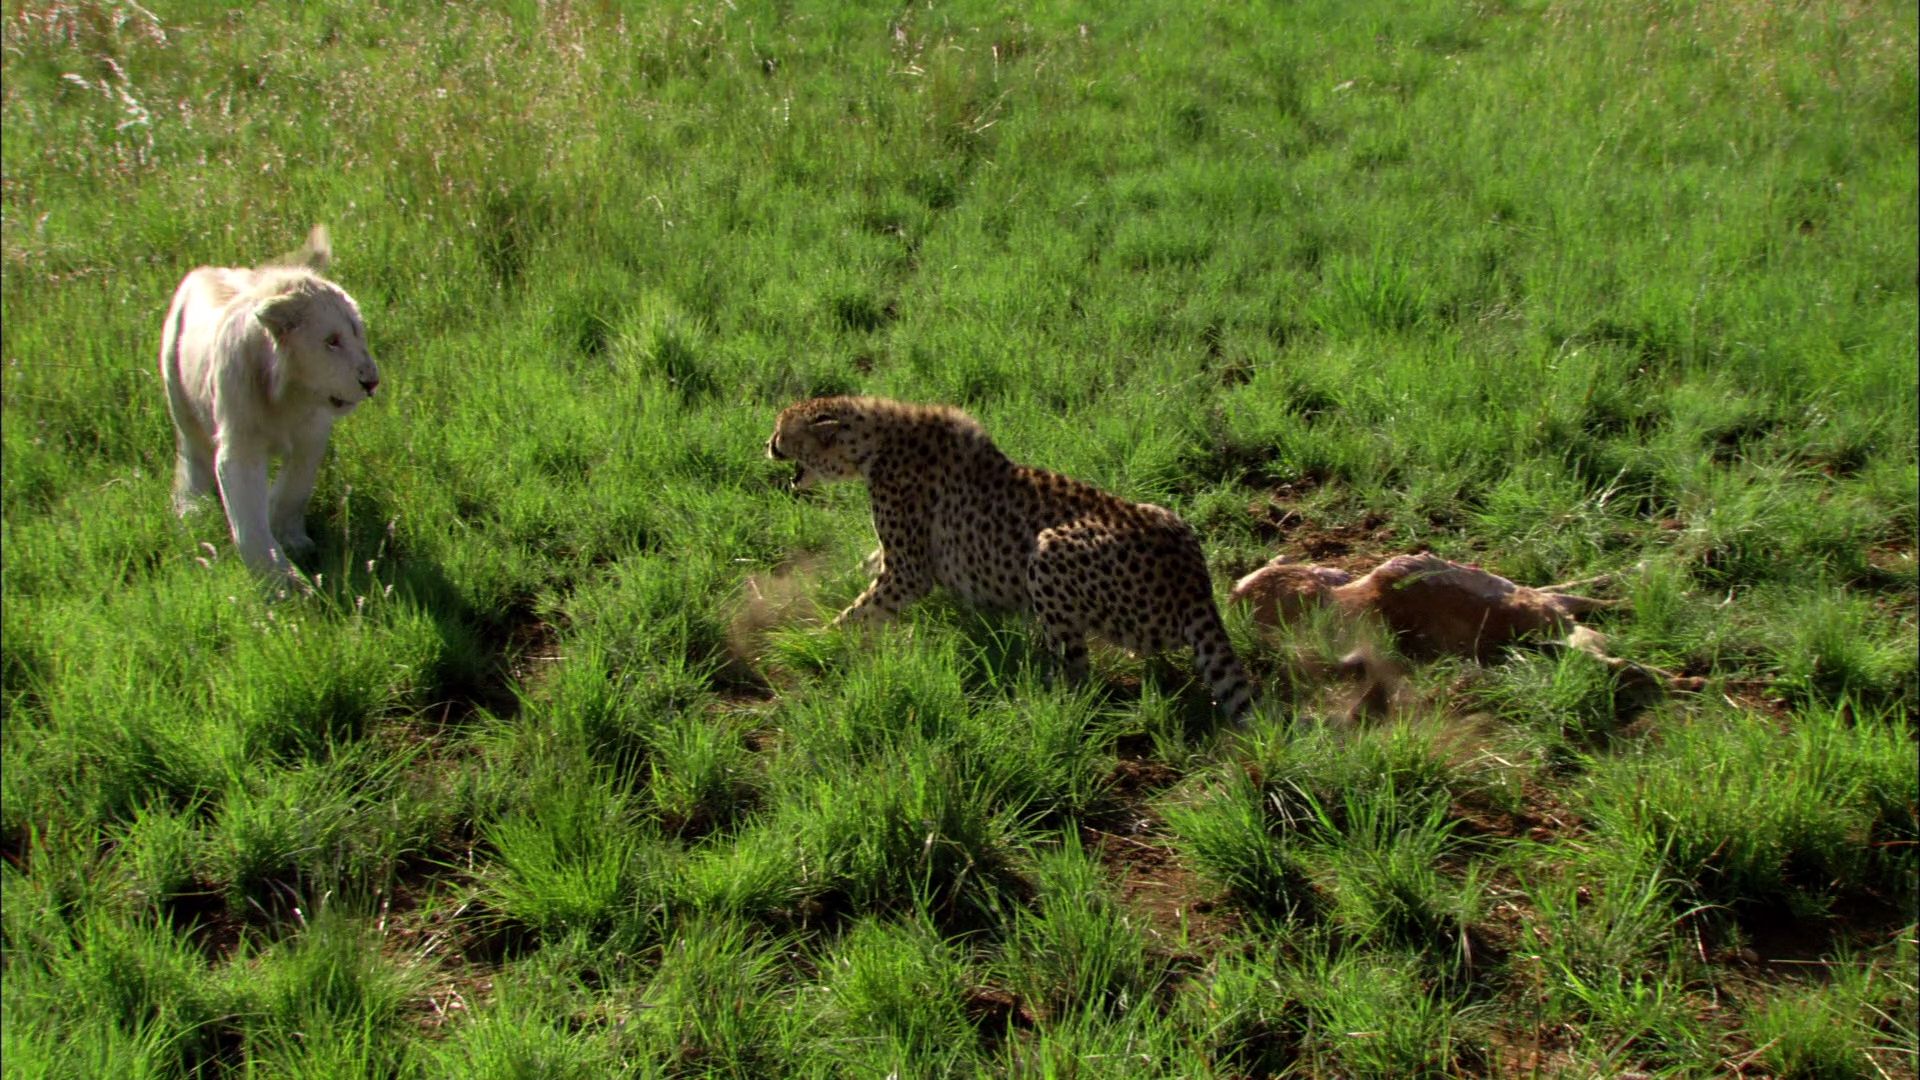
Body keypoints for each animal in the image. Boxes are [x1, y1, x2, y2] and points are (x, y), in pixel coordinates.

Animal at [158, 225, 380, 588]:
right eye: (331, 341)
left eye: (358, 333)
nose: (371, 382)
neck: (291, 394)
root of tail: (206, 269)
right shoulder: (239, 448)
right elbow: (249, 520)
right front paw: (282, 584)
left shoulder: (311, 435)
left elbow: (294, 489)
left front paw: (292, 539)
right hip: (177, 393)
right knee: (192, 451)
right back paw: (192, 507)